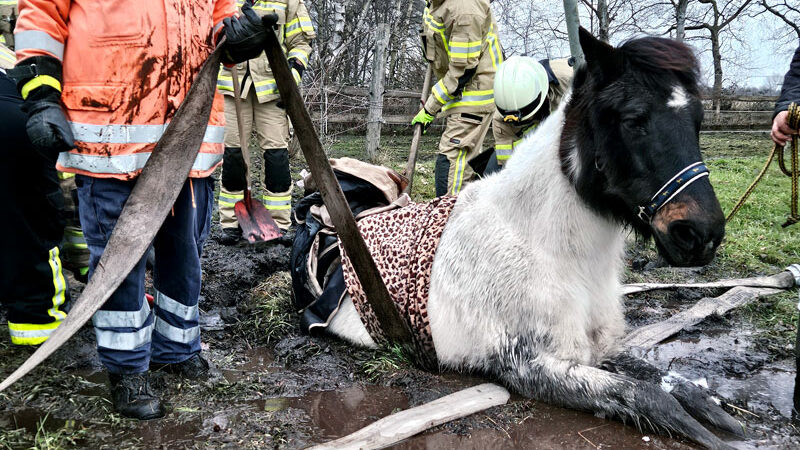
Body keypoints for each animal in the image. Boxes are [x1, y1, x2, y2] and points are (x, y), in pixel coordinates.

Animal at [326, 29, 736, 448]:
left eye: (698, 121)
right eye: (633, 119)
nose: (700, 233)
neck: (546, 250)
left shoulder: (600, 347)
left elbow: (675, 385)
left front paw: (723, 418)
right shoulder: (527, 366)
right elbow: (646, 395)